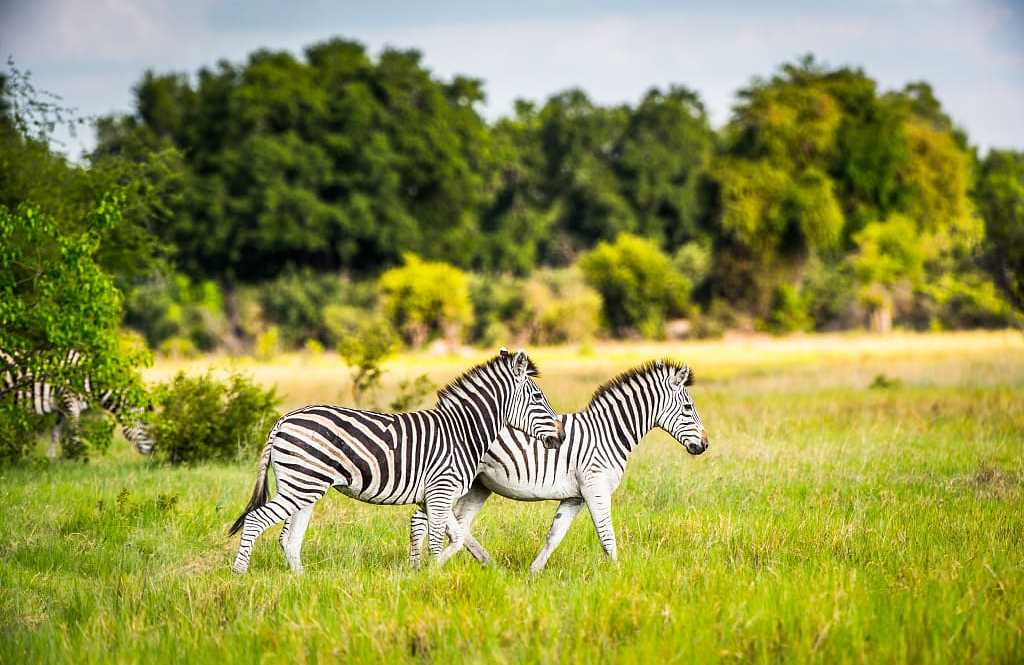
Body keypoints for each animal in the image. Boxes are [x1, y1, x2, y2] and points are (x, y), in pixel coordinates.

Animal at [0, 349, 154, 457]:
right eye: (145, 424)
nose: (154, 449)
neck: (91, 379)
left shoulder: (61, 406)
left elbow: (55, 434)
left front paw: (50, 458)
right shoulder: (69, 399)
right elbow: (75, 431)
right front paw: (75, 459)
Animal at [229, 349, 565, 573]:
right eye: (538, 398)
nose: (560, 437)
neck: (462, 432)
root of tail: (282, 419)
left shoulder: (435, 496)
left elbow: (456, 538)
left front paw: (426, 573)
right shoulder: (441, 491)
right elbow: (438, 540)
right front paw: (434, 578)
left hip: (302, 486)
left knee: (289, 538)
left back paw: (301, 583)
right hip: (301, 484)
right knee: (257, 520)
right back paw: (240, 575)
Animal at [408, 360, 708, 572]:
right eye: (687, 407)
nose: (705, 445)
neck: (607, 434)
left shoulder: (575, 496)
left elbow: (555, 535)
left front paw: (533, 572)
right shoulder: (595, 487)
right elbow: (606, 535)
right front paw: (618, 576)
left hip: (478, 485)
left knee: (457, 523)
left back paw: (486, 564)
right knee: (426, 520)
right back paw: (422, 568)